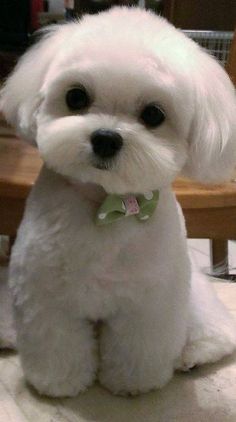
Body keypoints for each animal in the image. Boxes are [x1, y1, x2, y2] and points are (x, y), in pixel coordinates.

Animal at [0, 5, 236, 396]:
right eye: (76, 97)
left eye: (154, 114)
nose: (106, 139)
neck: (106, 205)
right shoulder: (45, 297)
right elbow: (57, 346)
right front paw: (60, 383)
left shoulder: (148, 305)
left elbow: (137, 350)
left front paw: (131, 385)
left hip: (193, 299)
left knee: (216, 329)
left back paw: (193, 354)